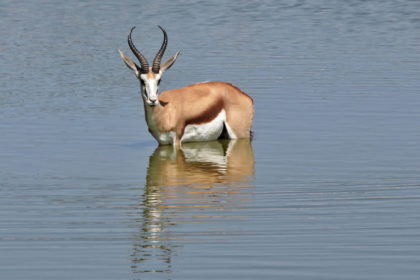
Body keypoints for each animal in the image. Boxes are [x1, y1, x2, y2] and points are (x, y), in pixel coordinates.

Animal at [118, 26, 253, 147]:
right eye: (142, 80)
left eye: (159, 80)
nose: (152, 100)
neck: (164, 112)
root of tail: (244, 95)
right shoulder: (163, 143)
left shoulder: (177, 141)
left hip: (239, 135)